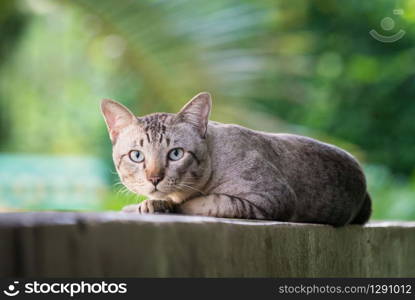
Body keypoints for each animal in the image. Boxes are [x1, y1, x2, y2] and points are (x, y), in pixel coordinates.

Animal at [101, 91, 374, 225]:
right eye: (136, 156)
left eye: (176, 154)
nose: (154, 178)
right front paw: (152, 204)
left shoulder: (270, 198)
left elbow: (201, 203)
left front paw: (154, 206)